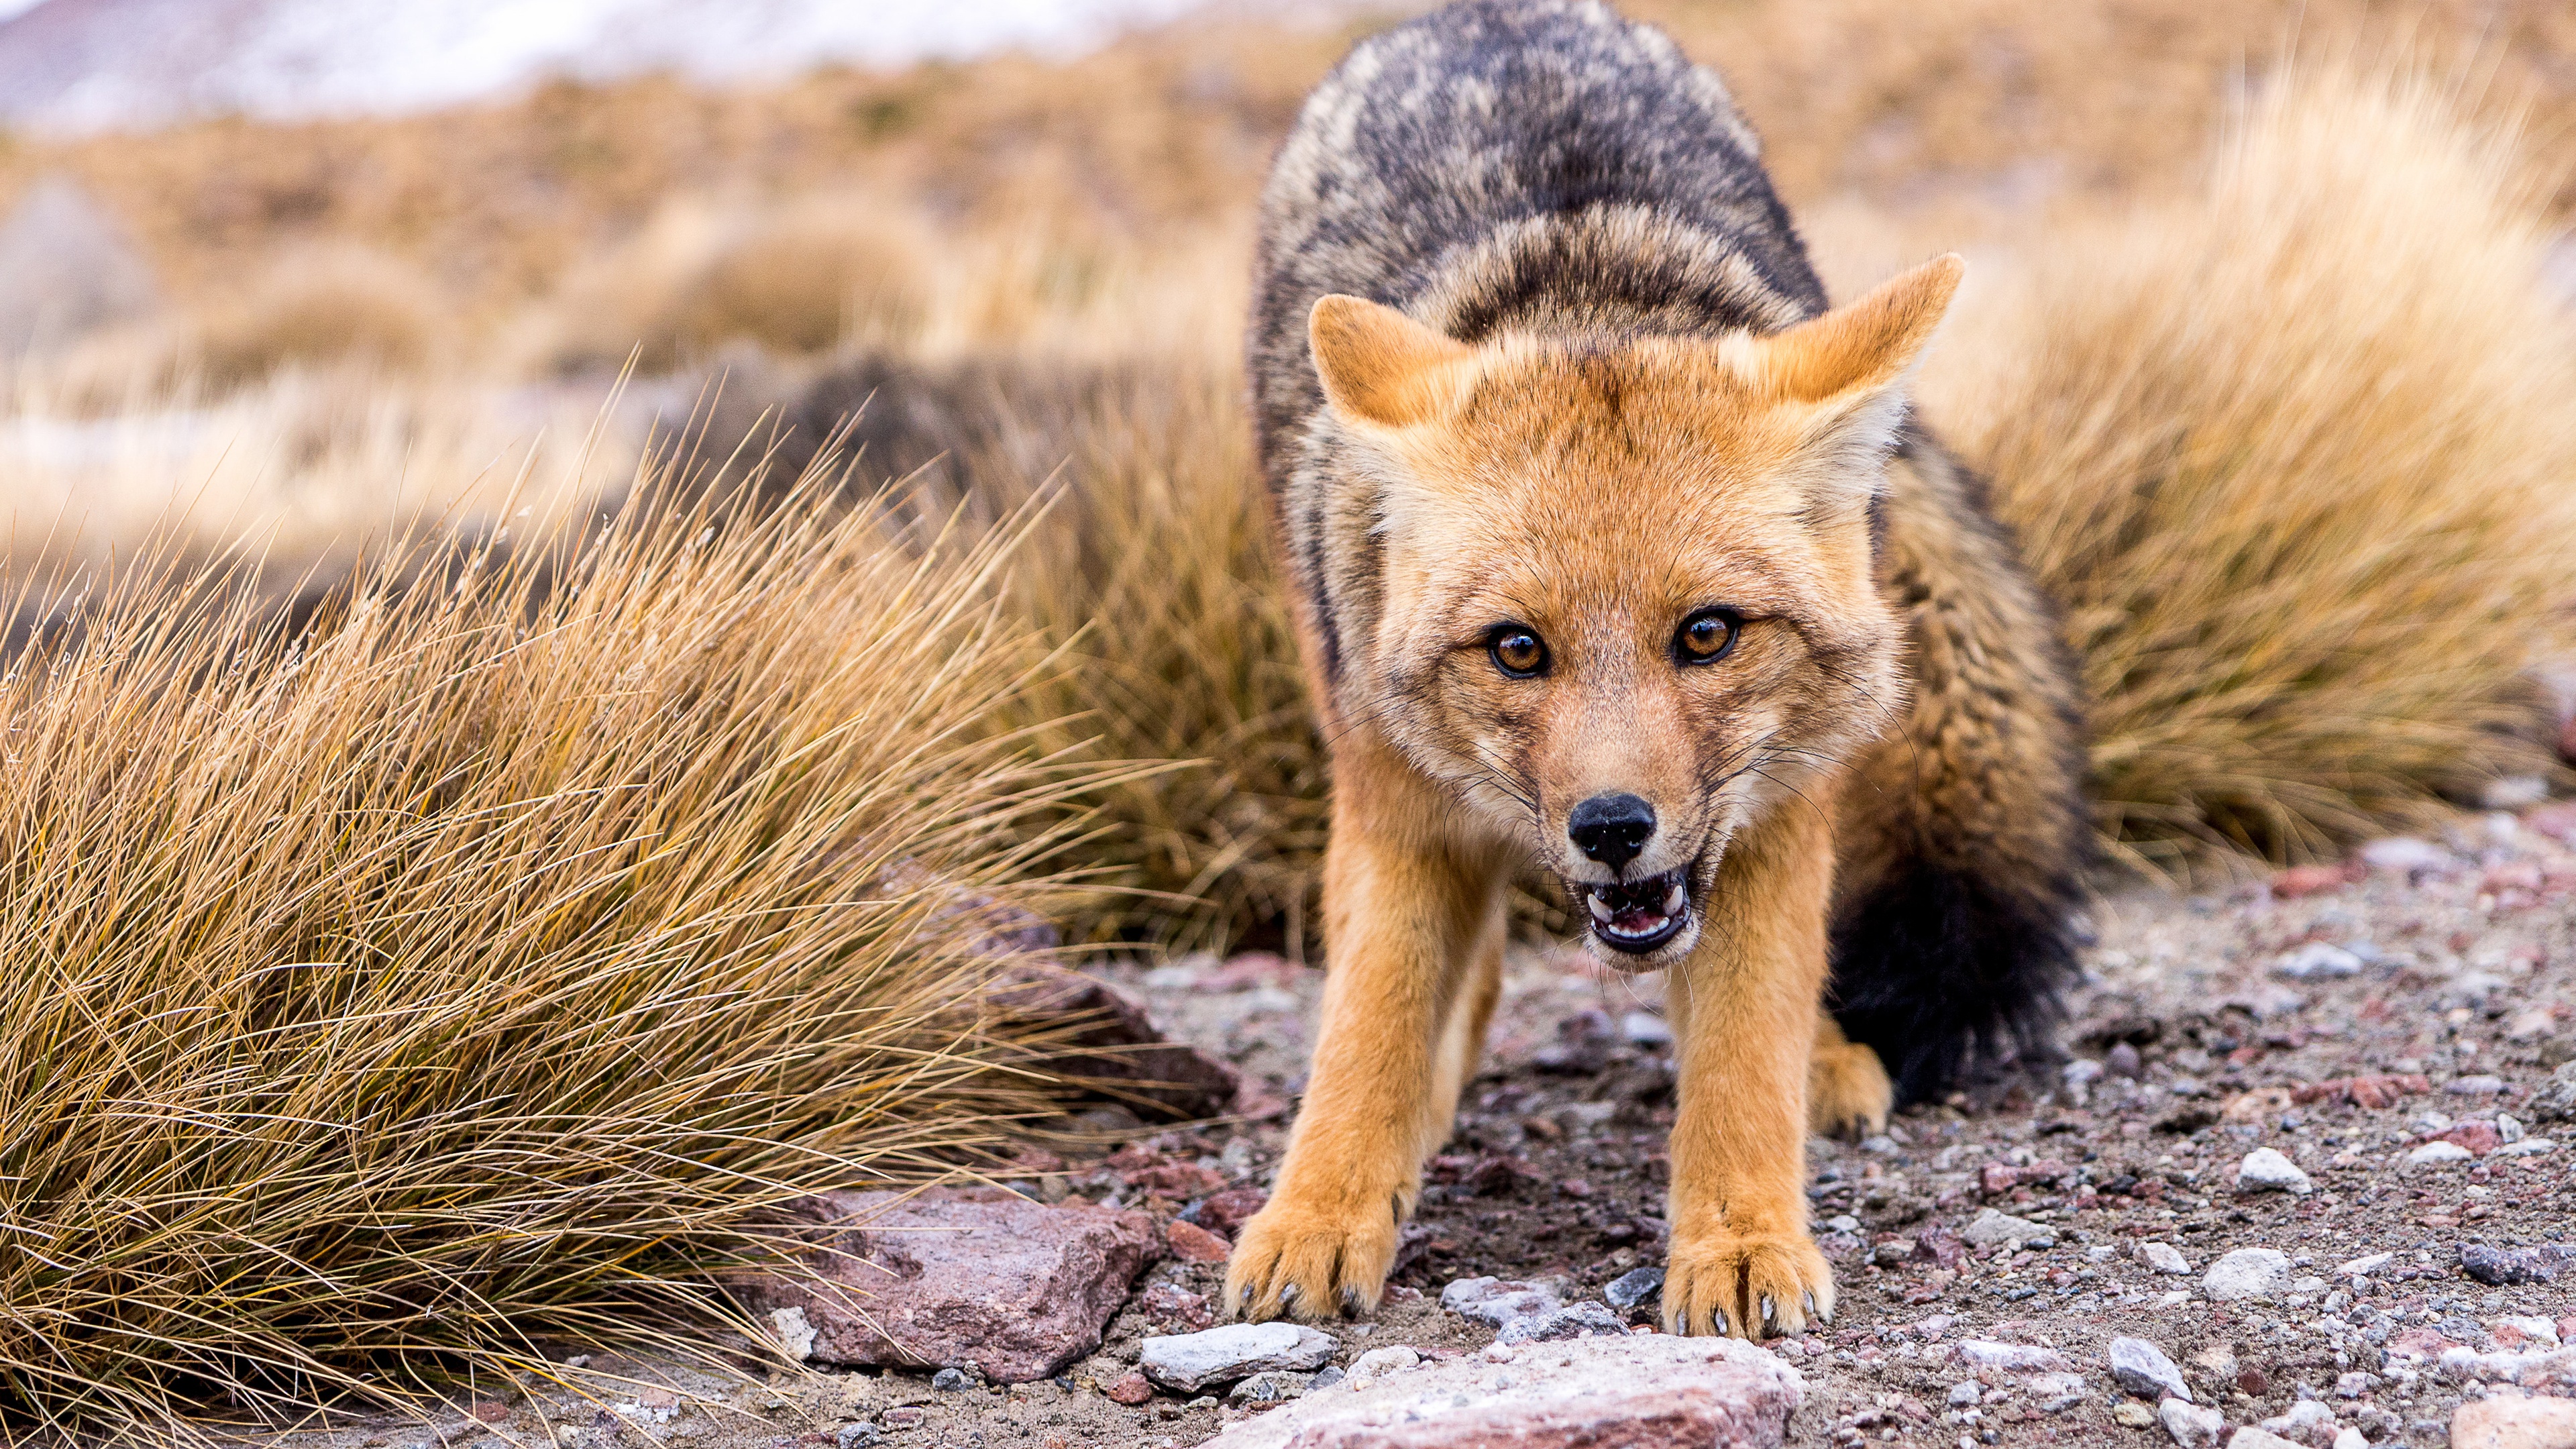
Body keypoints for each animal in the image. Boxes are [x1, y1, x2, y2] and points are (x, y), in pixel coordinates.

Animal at [1216, 0, 2081, 1330]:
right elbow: (1369, 1026)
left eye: (1707, 635)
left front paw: (1741, 1238)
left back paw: (1825, 1062)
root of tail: (1483, 16)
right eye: (1518, 649)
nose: (1613, 828)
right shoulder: (1393, 808)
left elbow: (1741, 1052)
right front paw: (1320, 1209)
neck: (1584, 291)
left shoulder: (1777, 822)